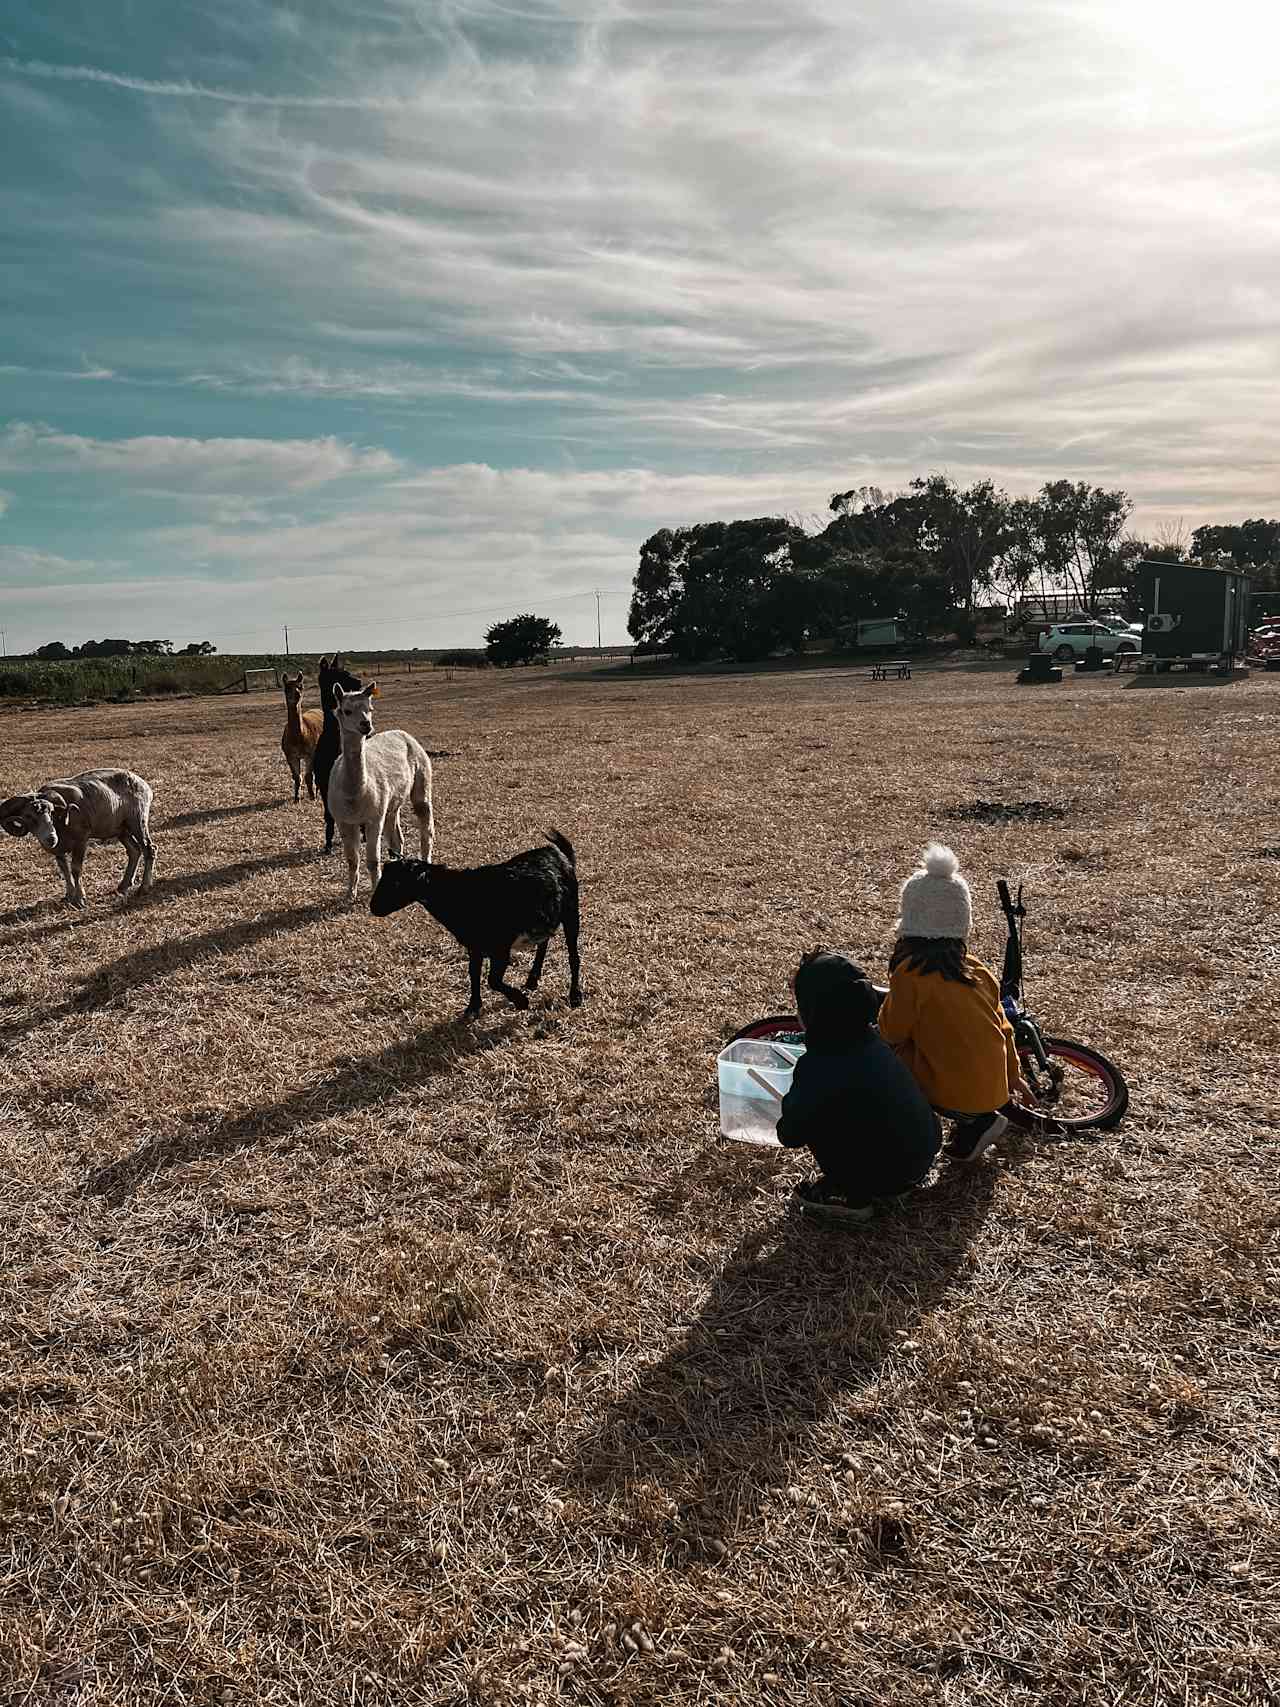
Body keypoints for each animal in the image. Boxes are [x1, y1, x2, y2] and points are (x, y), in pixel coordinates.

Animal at [0, 771, 157, 908]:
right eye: (28, 817)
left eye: (51, 812)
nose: (51, 838)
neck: (60, 825)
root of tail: (145, 785)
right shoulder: (59, 849)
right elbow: (64, 870)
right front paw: (68, 896)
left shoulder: (81, 841)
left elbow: (76, 869)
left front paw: (80, 899)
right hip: (121, 829)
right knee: (134, 851)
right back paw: (123, 886)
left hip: (137, 822)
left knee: (149, 849)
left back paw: (143, 888)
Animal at [279, 669, 322, 802]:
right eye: (287, 688)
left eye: (301, 686)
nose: (297, 694)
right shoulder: (290, 755)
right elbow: (297, 777)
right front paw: (296, 798)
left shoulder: (310, 754)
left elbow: (308, 776)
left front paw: (312, 796)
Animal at [312, 648, 363, 850]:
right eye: (338, 675)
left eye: (346, 671)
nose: (358, 682)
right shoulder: (323, 782)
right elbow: (328, 814)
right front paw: (328, 840)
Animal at [327, 679, 433, 901]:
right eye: (347, 710)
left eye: (370, 709)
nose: (366, 725)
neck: (354, 796)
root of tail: (403, 733)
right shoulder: (343, 820)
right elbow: (352, 859)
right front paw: (350, 893)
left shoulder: (373, 817)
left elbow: (372, 860)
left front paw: (374, 889)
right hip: (392, 802)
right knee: (397, 840)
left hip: (422, 777)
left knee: (425, 825)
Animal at [370, 833, 587, 1017]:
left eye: (397, 883)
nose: (373, 908)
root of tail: (558, 853)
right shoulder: (473, 945)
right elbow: (474, 973)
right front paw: (473, 1007)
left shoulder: (500, 946)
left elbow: (493, 980)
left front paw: (521, 1002)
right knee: (544, 942)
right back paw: (532, 979)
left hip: (570, 912)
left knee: (573, 955)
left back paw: (575, 995)